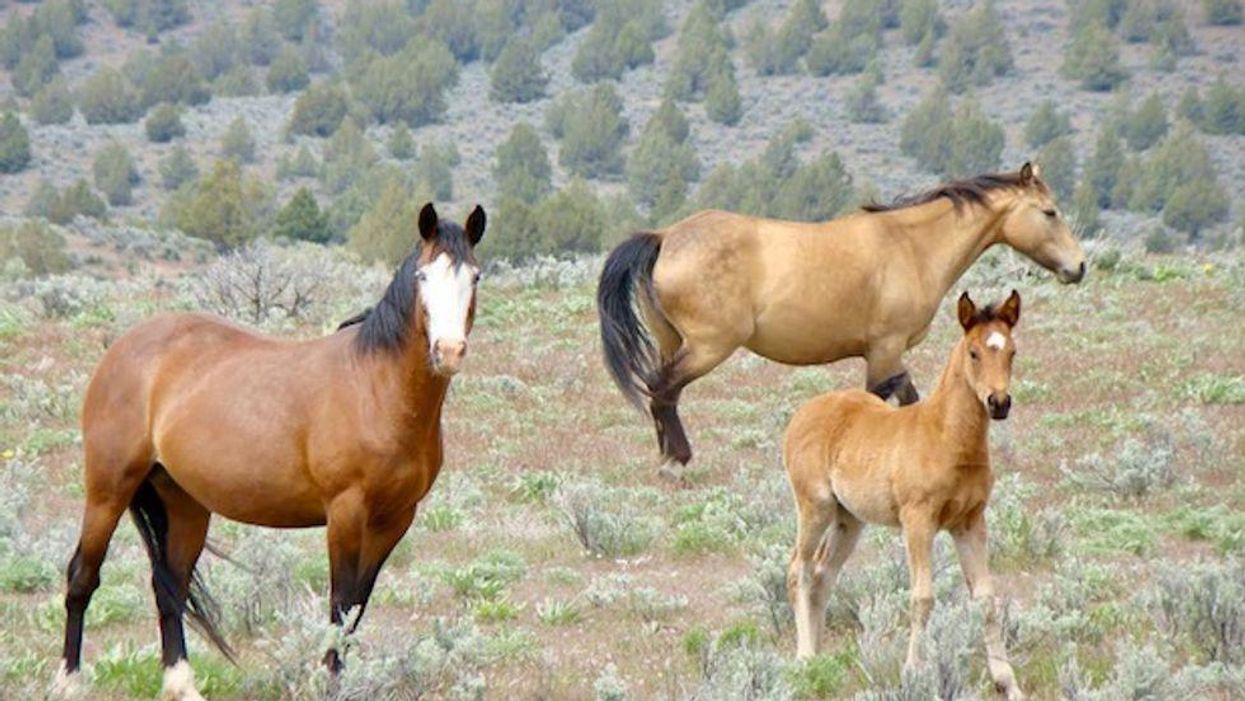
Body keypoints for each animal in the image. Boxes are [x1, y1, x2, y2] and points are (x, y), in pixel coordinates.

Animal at [52, 203, 486, 700]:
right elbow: (340, 605)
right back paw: (67, 681)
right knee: (82, 577)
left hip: (183, 503)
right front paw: (328, 683)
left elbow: (356, 608)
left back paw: (182, 684)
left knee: (169, 587)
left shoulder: (395, 519)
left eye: (475, 276)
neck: (376, 389)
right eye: (423, 276)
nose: (448, 351)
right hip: (108, 489)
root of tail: (123, 347)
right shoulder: (346, 512)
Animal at [597, 163, 1083, 481]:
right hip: (707, 347)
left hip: (674, 341)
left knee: (663, 395)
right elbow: (880, 401)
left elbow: (909, 400)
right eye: (1050, 212)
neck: (910, 245)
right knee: (662, 389)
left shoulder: (889, 354)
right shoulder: (885, 349)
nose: (1078, 266)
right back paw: (675, 463)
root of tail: (665, 237)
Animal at [783, 290, 1025, 700]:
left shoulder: (970, 523)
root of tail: (803, 413)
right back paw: (803, 660)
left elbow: (986, 599)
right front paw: (913, 673)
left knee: (822, 573)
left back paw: (819, 660)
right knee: (799, 569)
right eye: (974, 352)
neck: (947, 437)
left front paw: (1008, 682)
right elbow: (922, 596)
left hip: (850, 519)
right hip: (815, 506)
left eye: (1011, 351)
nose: (999, 403)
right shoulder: (918, 521)